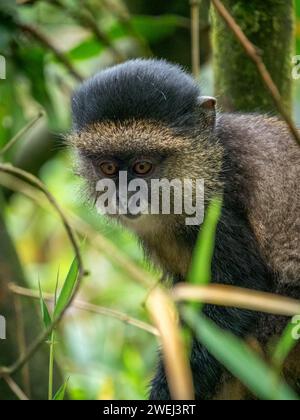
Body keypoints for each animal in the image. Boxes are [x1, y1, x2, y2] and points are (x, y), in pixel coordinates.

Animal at [69, 59, 300, 400]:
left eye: (142, 167)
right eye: (108, 168)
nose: (124, 197)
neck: (209, 164)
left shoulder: (216, 213)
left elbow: (238, 292)